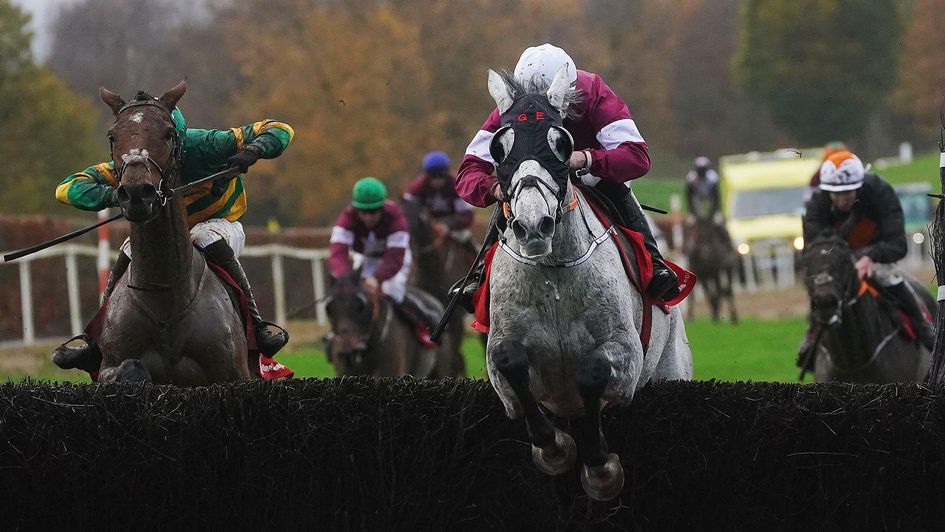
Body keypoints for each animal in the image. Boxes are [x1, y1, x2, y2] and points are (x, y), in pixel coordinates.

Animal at [97, 81, 251, 382]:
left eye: (168, 133)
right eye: (112, 136)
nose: (136, 193)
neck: (165, 297)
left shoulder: (236, 373)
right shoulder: (108, 365)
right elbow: (128, 367)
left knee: (211, 237)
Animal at [484, 64, 688, 500]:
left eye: (562, 143)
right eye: (498, 147)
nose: (532, 226)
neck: (554, 274)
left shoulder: (625, 356)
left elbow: (593, 371)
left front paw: (600, 468)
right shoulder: (501, 360)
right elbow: (510, 363)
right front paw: (554, 448)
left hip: (671, 368)